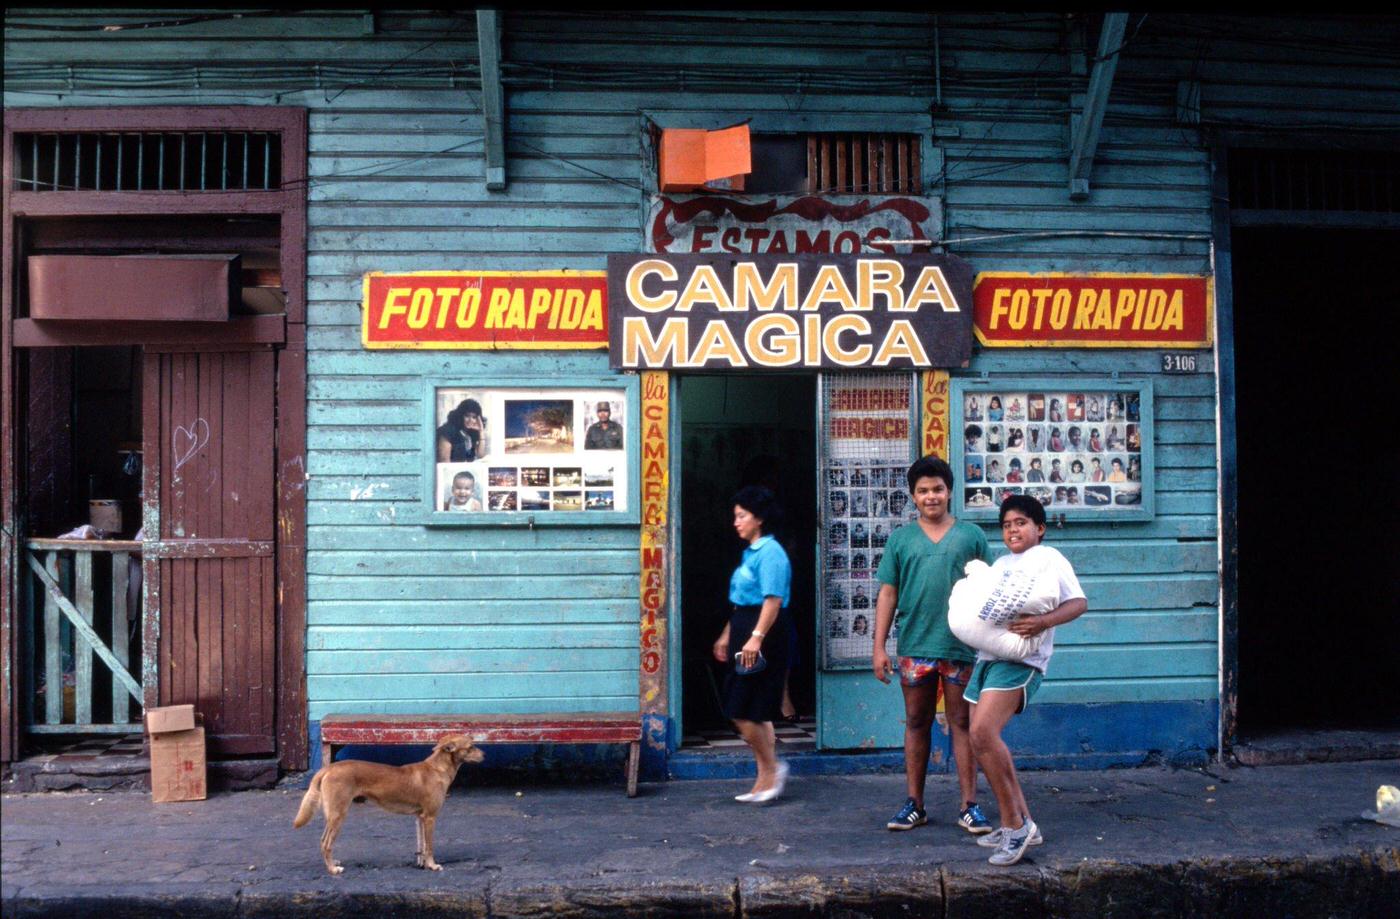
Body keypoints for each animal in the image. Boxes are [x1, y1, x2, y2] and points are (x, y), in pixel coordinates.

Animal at [289, 734, 481, 874]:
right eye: (471, 747)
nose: (484, 755)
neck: (437, 769)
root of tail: (328, 768)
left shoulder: (420, 817)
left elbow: (422, 846)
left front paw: (423, 864)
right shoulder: (430, 817)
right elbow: (430, 846)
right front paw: (433, 866)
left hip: (332, 817)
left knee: (323, 841)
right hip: (338, 815)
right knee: (326, 843)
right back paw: (332, 869)